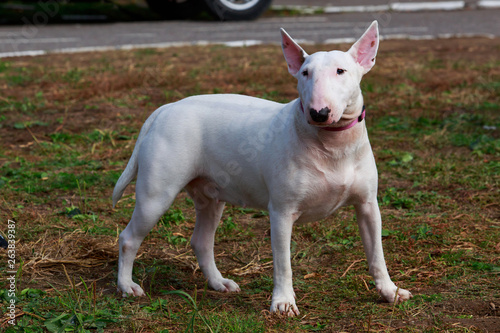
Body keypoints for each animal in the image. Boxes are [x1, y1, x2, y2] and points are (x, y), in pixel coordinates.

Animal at [114, 21, 414, 314]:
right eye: (304, 73)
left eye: (341, 71)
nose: (318, 113)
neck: (332, 145)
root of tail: (166, 108)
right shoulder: (281, 212)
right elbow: (283, 263)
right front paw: (283, 303)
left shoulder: (368, 205)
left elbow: (377, 254)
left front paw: (390, 291)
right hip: (156, 196)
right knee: (129, 237)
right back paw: (127, 286)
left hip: (211, 197)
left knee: (201, 241)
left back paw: (219, 282)